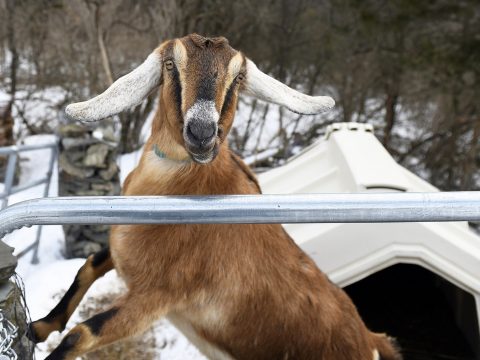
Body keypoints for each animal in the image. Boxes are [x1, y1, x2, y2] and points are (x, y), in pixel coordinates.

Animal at [30, 33, 402, 360]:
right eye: (170, 64)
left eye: (237, 77)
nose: (202, 132)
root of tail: (371, 340)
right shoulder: (122, 255)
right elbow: (89, 266)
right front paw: (38, 327)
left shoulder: (155, 296)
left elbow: (81, 335)